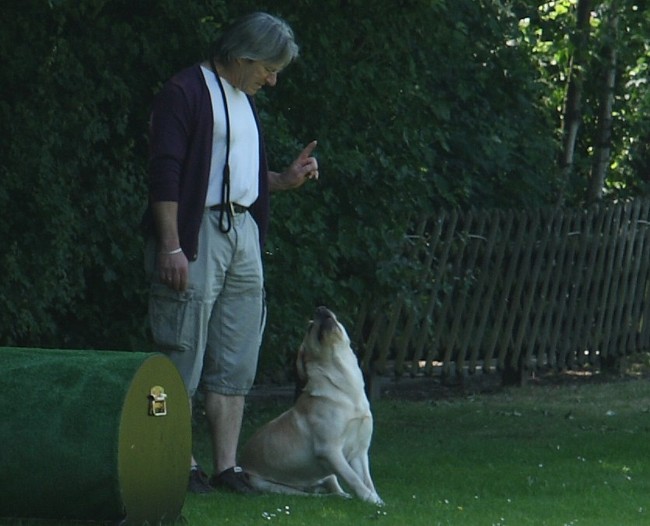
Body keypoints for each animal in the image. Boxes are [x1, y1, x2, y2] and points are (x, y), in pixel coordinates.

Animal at [239, 310, 382, 508]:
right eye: (310, 327)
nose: (321, 308)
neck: (346, 389)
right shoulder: (329, 449)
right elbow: (353, 477)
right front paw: (369, 498)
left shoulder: (360, 452)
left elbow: (366, 479)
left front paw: (377, 498)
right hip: (269, 485)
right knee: (310, 495)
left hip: (326, 472)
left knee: (333, 486)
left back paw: (342, 495)